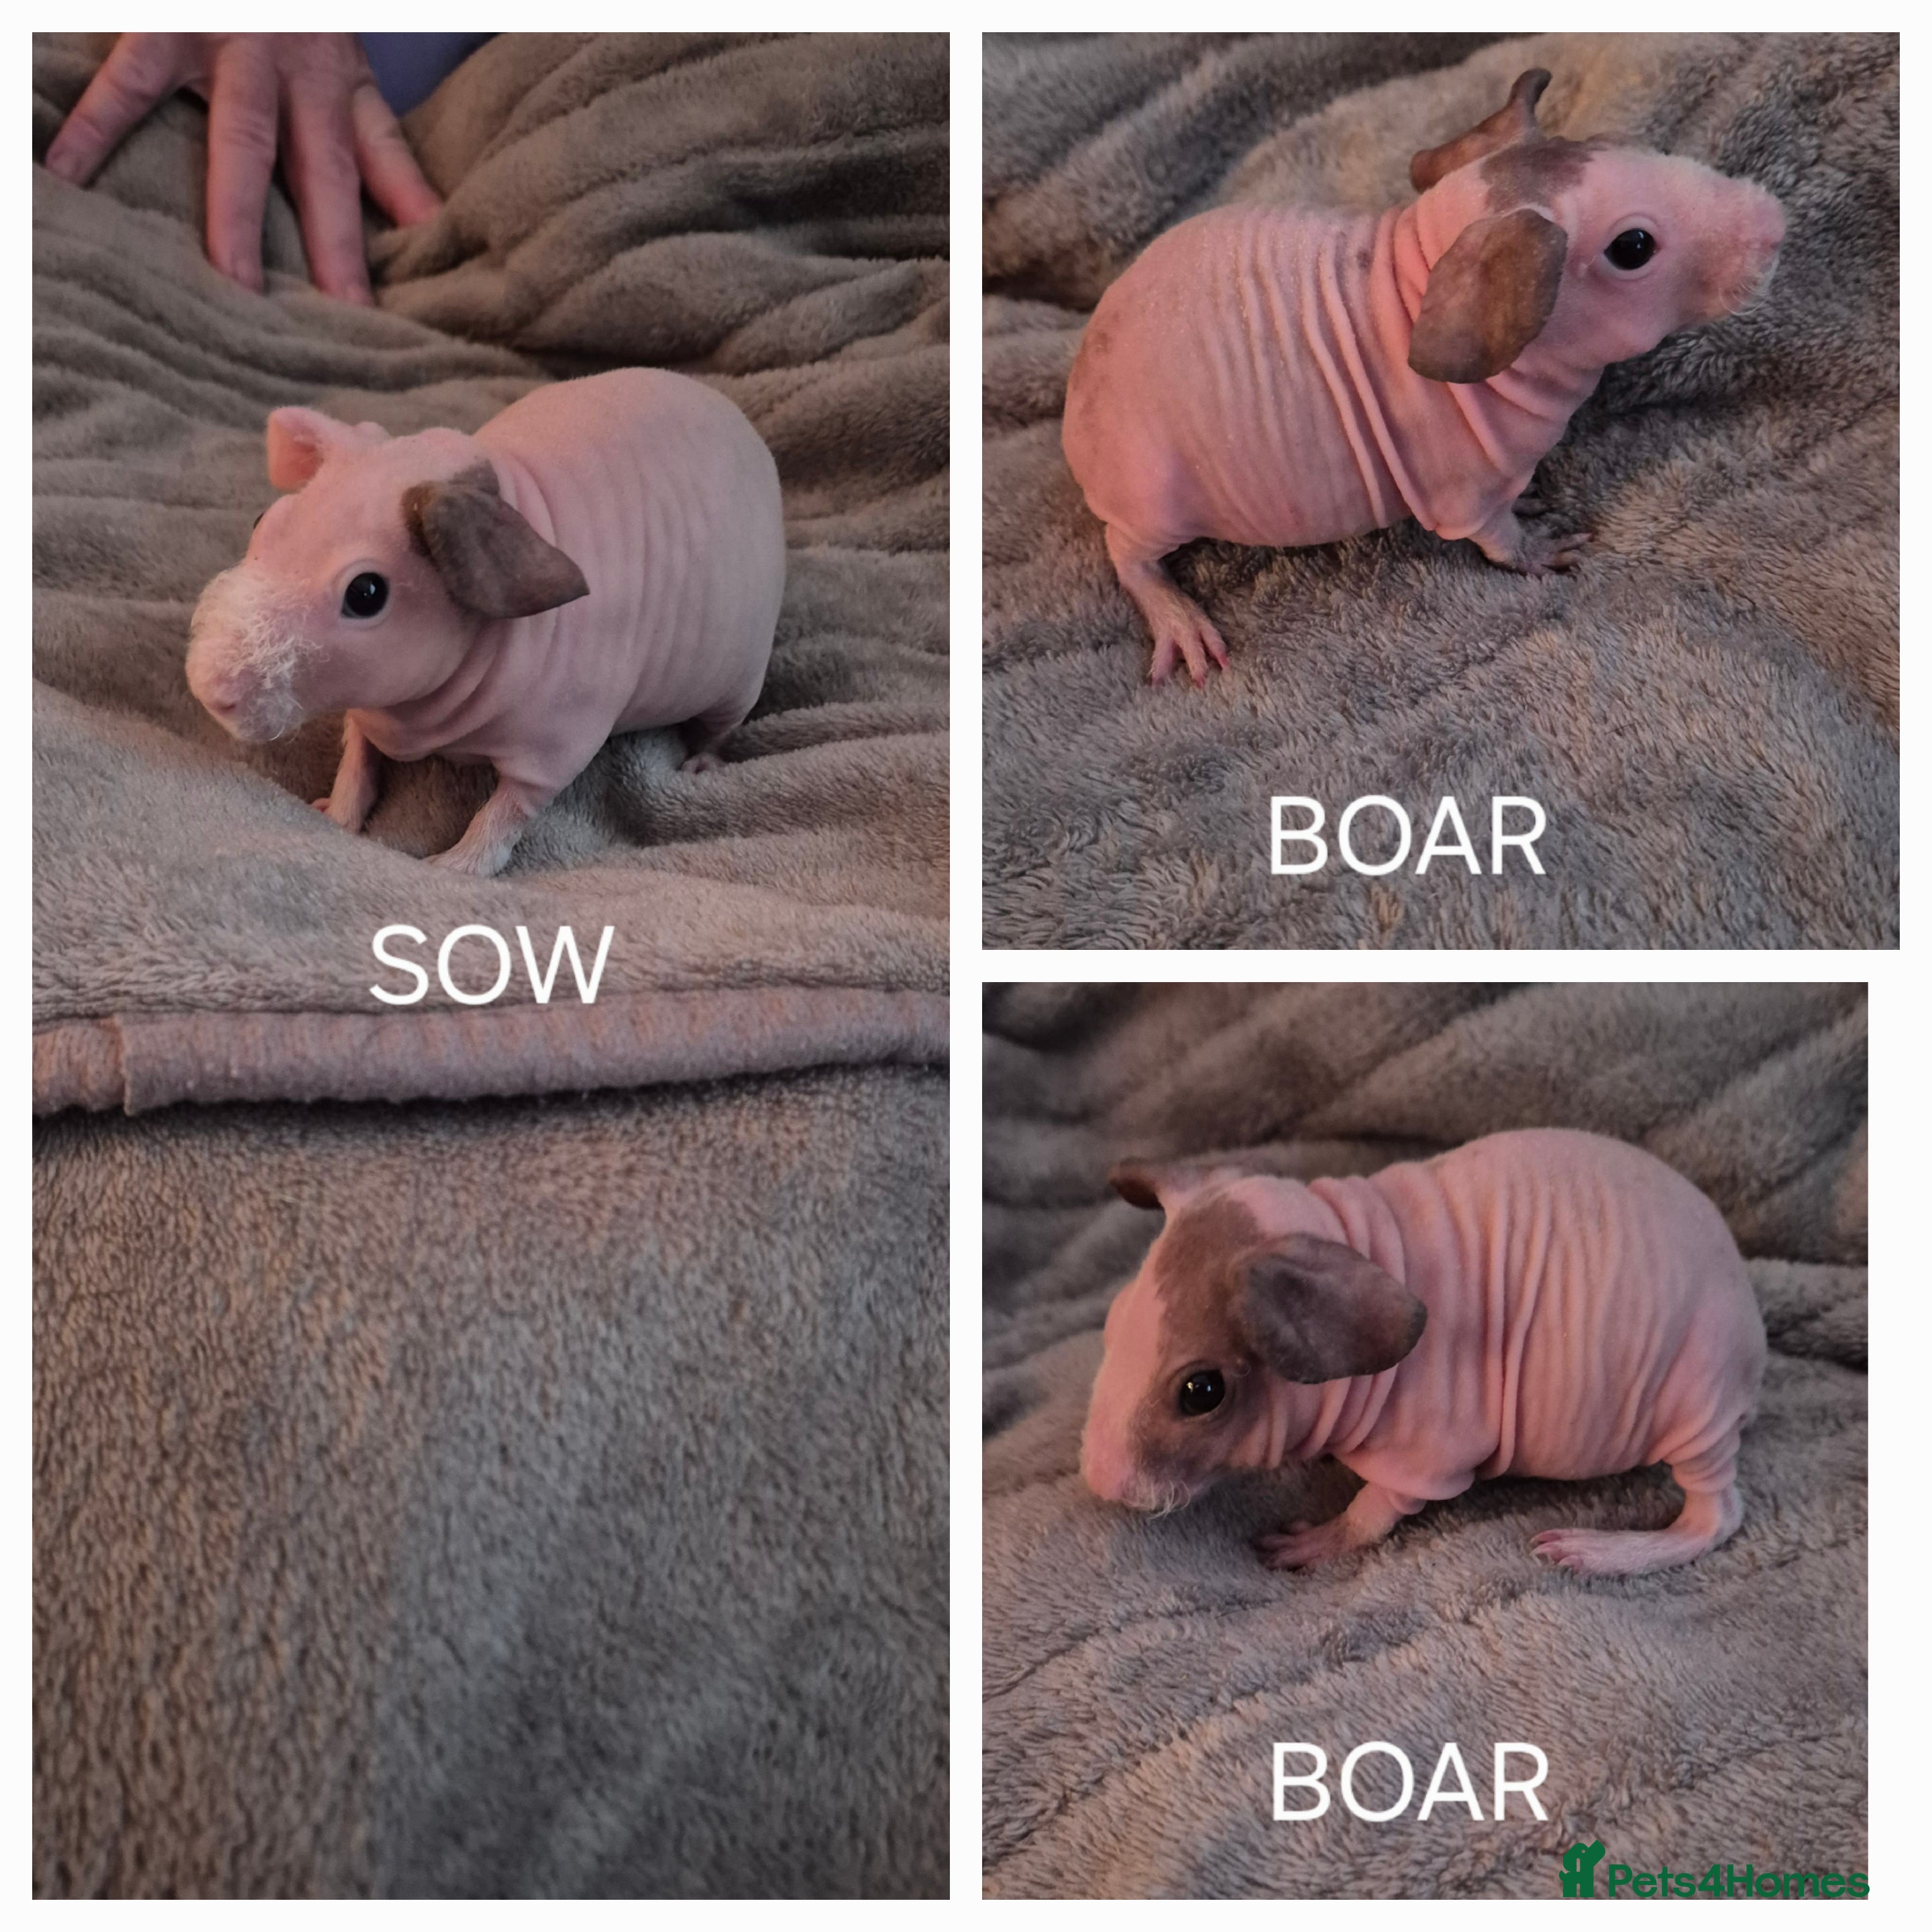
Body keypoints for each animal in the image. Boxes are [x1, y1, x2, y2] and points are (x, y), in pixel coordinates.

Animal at [186, 367, 785, 875]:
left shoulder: (560, 737)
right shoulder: (370, 709)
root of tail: (739, 425)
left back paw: (702, 763)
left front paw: (458, 866)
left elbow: (510, 808)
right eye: (262, 521)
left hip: (740, 674)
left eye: (366, 593)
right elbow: (357, 757)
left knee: (720, 725)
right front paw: (336, 813)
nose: (210, 691)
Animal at [1060, 69, 1786, 683]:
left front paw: (1529, 500)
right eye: (1634, 248)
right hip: (1152, 489)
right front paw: (1534, 547)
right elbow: (1494, 538)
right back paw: (1172, 611)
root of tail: (1078, 390)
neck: (1429, 270)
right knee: (1126, 549)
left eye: (1631, 148)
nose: (1775, 220)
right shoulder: (1463, 487)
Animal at [1080, 1128, 1767, 1576]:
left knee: (1717, 1516)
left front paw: (1322, 1540)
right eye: (1111, 1326)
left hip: (1696, 1391)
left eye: (1202, 1392)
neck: (1357, 1242)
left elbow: (1378, 1509)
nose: (1098, 1478)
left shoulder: (1432, 1445)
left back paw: (1604, 1553)